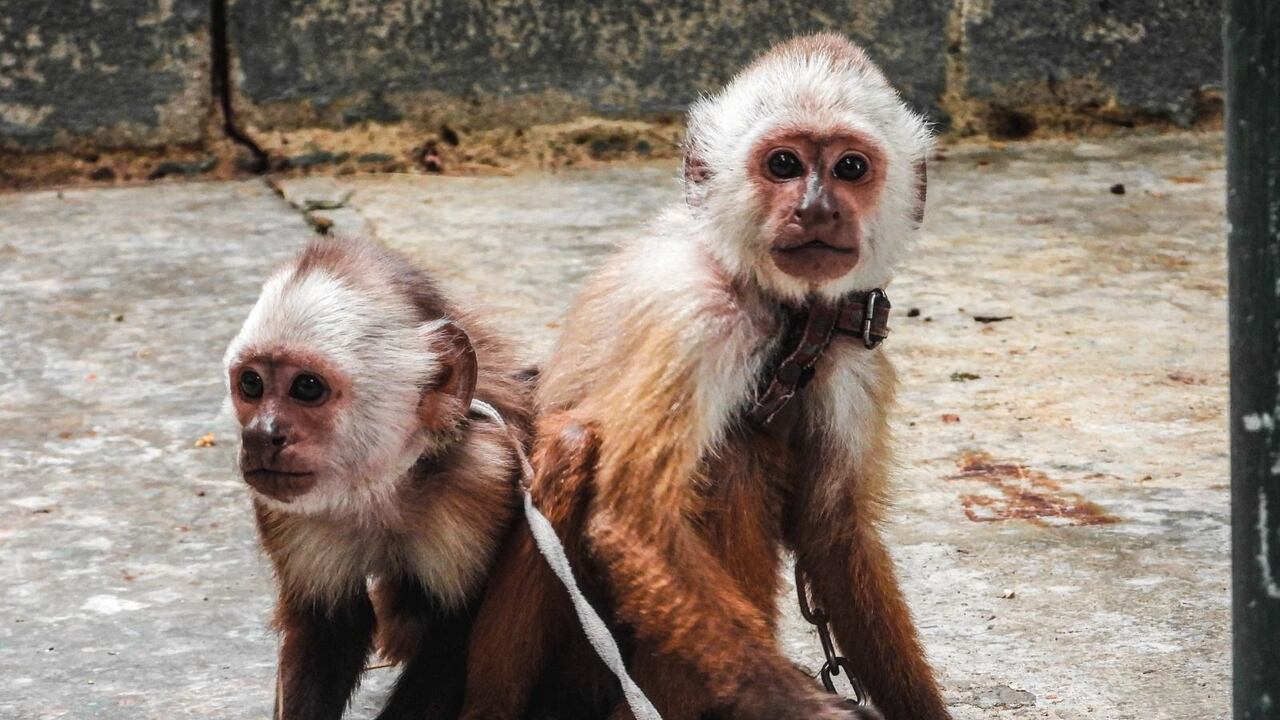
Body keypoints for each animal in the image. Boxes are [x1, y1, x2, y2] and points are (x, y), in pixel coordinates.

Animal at [223, 235, 532, 720]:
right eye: (251, 384)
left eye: (307, 387)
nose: (259, 434)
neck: (381, 488)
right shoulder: (283, 508)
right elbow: (330, 627)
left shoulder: (482, 478)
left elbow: (456, 635)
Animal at [459, 34, 947, 720]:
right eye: (784, 164)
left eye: (850, 168)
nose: (816, 207)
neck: (788, 320)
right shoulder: (692, 315)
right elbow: (633, 521)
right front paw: (807, 708)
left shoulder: (856, 352)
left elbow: (834, 533)